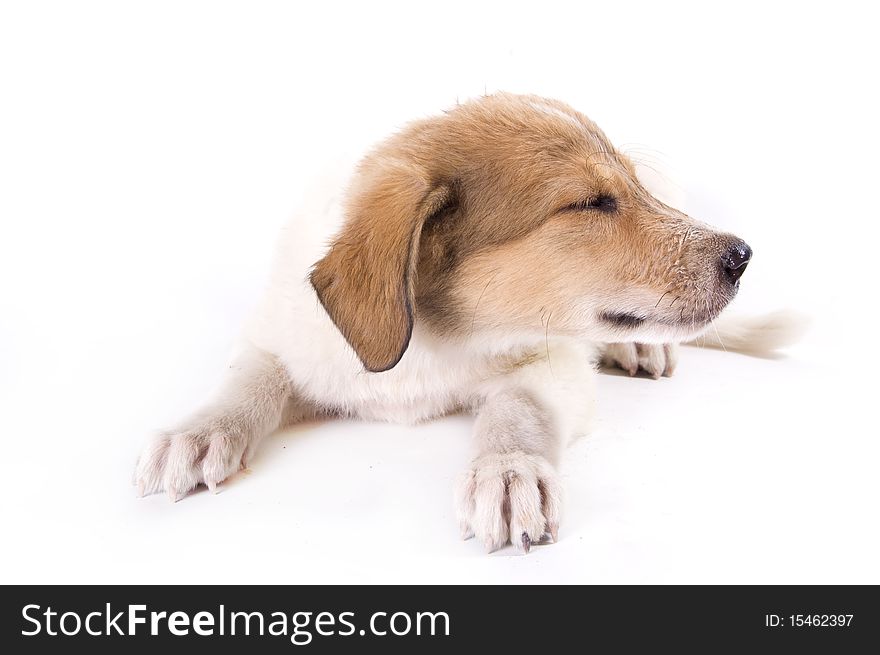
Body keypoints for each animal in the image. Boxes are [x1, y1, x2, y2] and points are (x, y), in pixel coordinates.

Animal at [132, 92, 796, 552]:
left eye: (633, 187)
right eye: (589, 203)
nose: (743, 256)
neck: (435, 343)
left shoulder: (551, 361)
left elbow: (516, 410)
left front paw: (507, 471)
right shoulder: (277, 336)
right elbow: (248, 381)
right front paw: (197, 433)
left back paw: (638, 347)